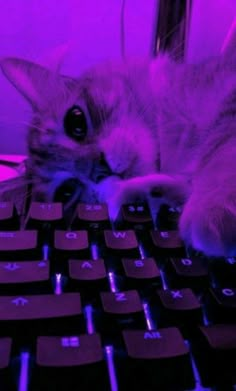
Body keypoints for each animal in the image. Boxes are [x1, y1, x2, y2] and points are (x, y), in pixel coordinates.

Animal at [0, 25, 236, 258]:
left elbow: (222, 154)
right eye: (66, 191)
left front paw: (213, 214)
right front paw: (131, 193)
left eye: (76, 121)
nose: (99, 170)